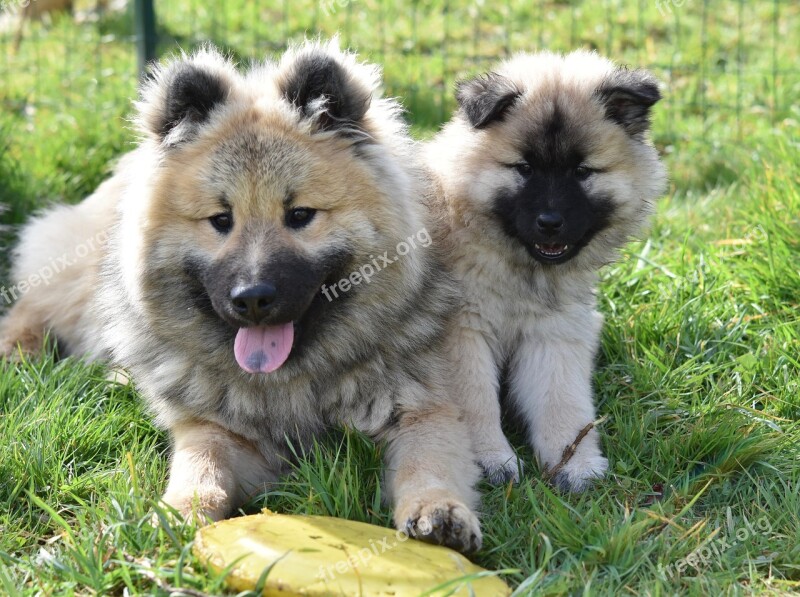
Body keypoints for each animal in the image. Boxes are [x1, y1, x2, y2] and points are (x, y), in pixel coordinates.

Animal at [1, 43, 482, 556]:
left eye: (300, 215)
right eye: (220, 219)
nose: (251, 299)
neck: (293, 385)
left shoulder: (425, 410)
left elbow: (427, 466)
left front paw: (439, 510)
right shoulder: (217, 430)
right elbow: (202, 472)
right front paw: (175, 516)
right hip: (80, 270)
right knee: (36, 302)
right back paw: (19, 350)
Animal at [424, 50, 668, 488]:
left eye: (582, 172)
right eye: (525, 168)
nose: (550, 222)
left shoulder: (554, 331)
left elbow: (562, 400)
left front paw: (574, 461)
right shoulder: (461, 333)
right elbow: (474, 402)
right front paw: (489, 458)